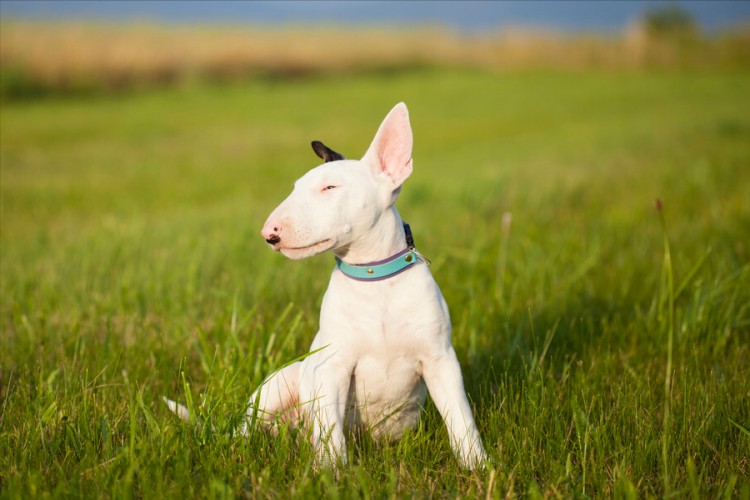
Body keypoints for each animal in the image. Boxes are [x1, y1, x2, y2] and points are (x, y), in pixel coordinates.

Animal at [168, 101, 490, 468]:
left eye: (330, 188)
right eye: (295, 188)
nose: (269, 233)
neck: (374, 281)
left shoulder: (440, 361)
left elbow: (461, 419)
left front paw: (479, 468)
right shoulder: (332, 367)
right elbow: (330, 431)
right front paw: (331, 473)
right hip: (279, 384)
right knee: (246, 429)